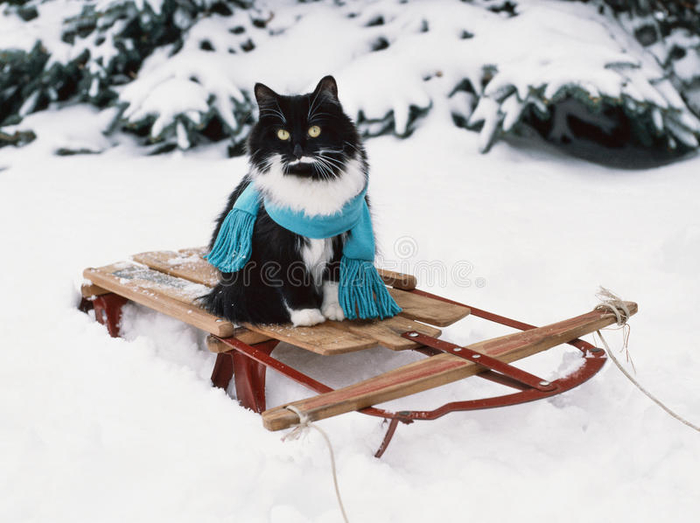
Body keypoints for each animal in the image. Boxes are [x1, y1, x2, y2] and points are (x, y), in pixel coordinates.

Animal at [202, 75, 372, 326]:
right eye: (282, 134)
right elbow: (292, 280)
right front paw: (307, 314)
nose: (298, 150)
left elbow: (333, 280)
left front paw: (334, 310)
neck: (309, 179)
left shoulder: (340, 239)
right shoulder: (277, 242)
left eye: (314, 130)